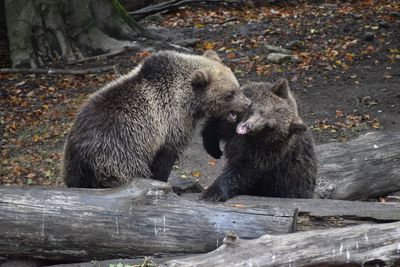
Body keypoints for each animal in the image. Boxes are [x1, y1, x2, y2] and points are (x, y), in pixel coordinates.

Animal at [62, 50, 250, 188]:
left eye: (237, 86)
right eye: (229, 94)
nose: (247, 103)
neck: (188, 102)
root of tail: (82, 150)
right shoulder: (170, 125)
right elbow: (164, 159)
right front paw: (162, 181)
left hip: (74, 165)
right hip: (116, 152)